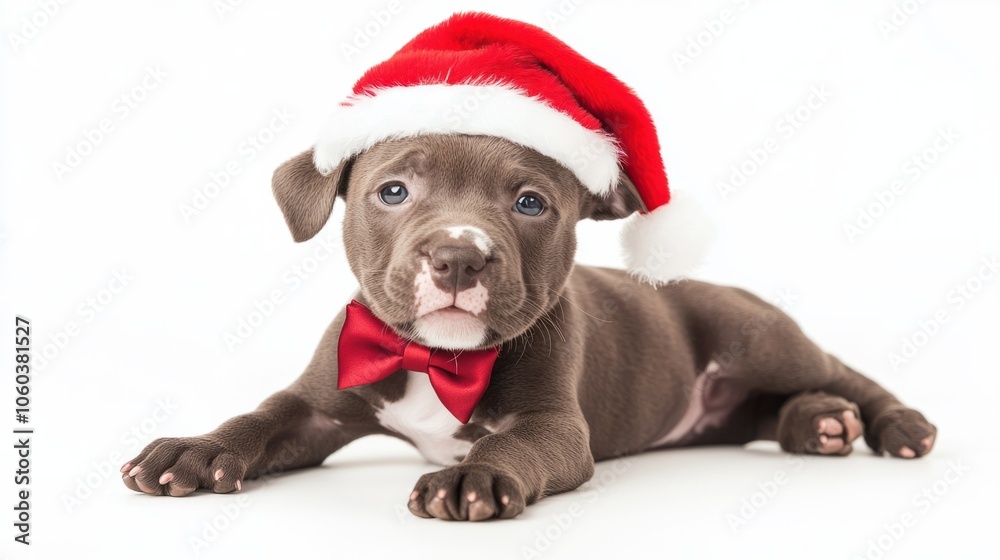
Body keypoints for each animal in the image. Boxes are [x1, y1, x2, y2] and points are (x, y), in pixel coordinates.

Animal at [123, 133, 936, 520]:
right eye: (393, 191)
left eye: (530, 203)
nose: (458, 256)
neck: (435, 359)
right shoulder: (318, 407)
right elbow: (260, 415)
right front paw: (194, 452)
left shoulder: (555, 426)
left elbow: (513, 442)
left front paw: (471, 477)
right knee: (768, 412)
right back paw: (820, 425)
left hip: (756, 335)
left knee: (839, 371)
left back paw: (892, 424)